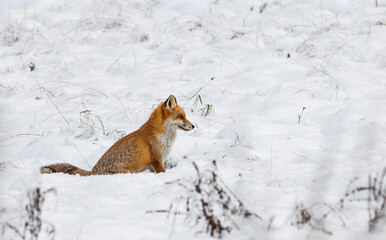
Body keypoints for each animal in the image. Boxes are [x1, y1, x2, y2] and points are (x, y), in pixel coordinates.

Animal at [40, 94, 195, 175]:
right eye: (181, 116)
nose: (193, 126)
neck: (163, 135)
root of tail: (93, 172)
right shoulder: (156, 159)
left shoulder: (153, 164)